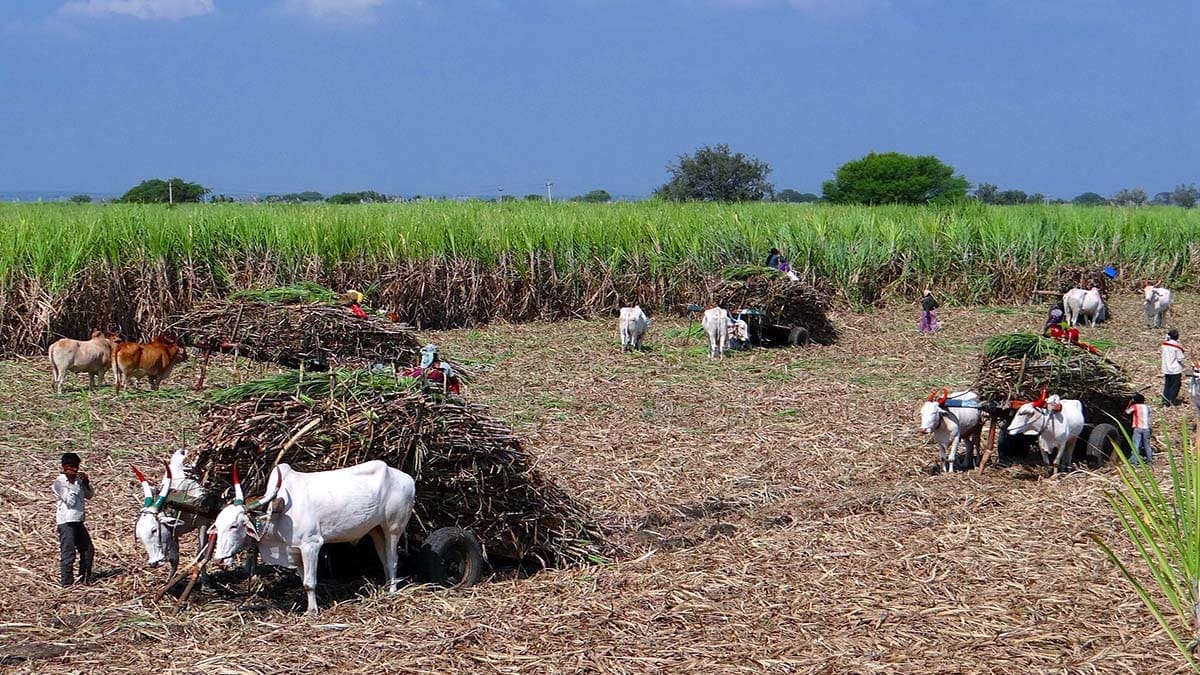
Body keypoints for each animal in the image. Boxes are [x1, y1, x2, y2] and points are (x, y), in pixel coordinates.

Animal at [211, 461, 416, 614]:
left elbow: (310, 582)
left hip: (393, 527)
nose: (218, 558)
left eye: (234, 525)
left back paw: (392, 591)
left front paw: (312, 611)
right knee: (383, 557)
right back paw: (386, 586)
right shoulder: (295, 550)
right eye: (218, 526)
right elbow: (303, 580)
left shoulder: (311, 545)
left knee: (392, 559)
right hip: (376, 529)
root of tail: (407, 478)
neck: (279, 513)